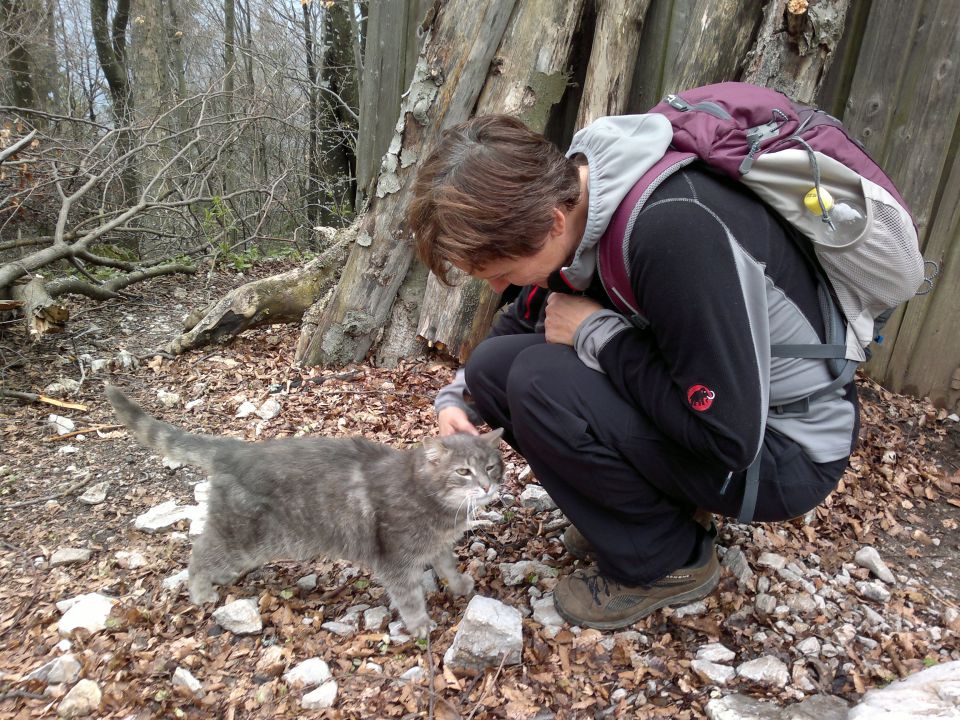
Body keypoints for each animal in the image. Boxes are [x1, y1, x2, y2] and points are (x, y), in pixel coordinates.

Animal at [107, 386, 502, 640]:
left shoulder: (437, 545)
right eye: (463, 472)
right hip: (241, 537)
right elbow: (409, 597)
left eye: (491, 467)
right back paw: (200, 591)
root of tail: (232, 450)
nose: (487, 486)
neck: (431, 500)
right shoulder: (395, 559)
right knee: (200, 552)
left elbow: (448, 565)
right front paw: (420, 624)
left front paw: (460, 585)